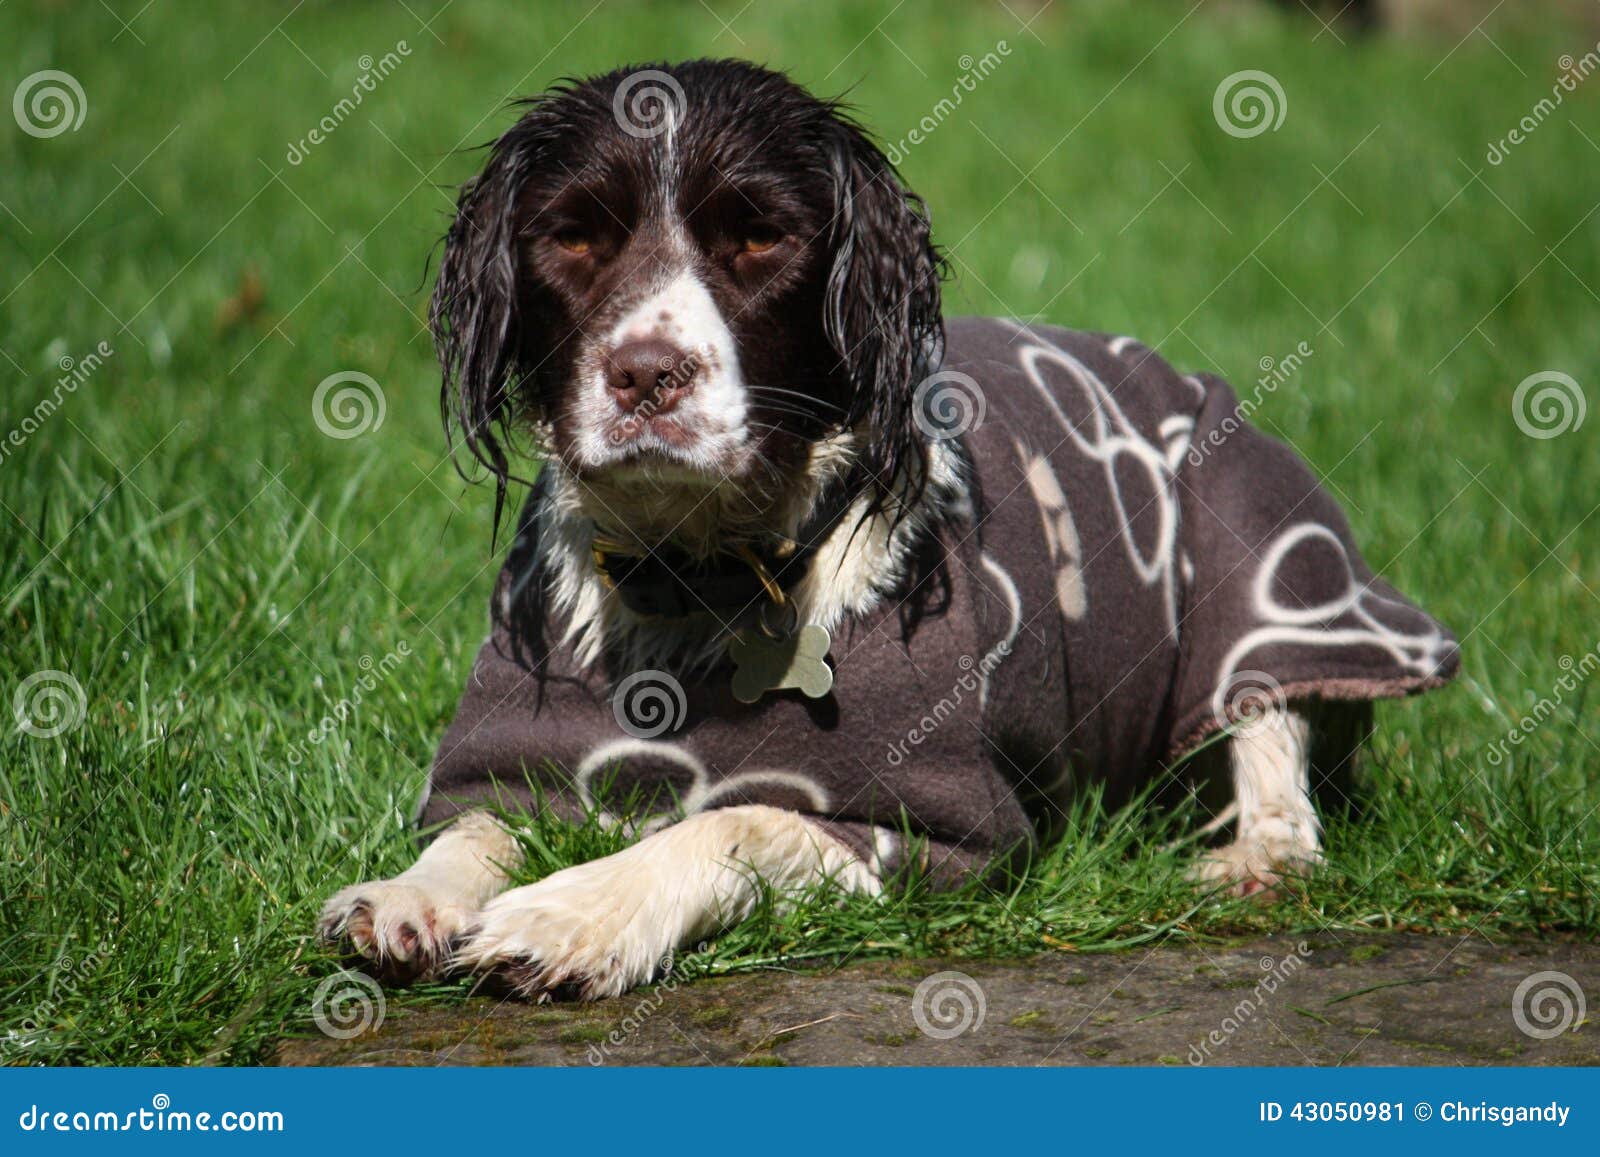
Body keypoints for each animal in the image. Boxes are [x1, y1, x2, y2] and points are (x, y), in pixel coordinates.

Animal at [315, 58, 1465, 998]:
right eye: (574, 237)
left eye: (761, 237)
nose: (645, 374)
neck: (699, 572)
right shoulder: (528, 754)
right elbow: (478, 823)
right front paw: (405, 894)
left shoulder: (930, 831)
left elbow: (734, 817)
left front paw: (575, 914)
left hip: (1254, 537)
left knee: (1273, 733)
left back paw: (1256, 856)